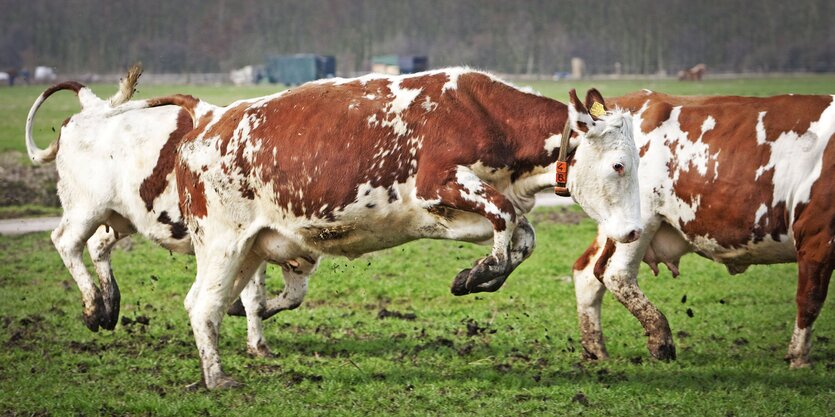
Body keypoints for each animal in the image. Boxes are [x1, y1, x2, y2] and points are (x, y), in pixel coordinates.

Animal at [23, 70, 298, 356]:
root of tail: (93, 106)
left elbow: (275, 296)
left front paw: (258, 344)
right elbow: (258, 296)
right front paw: (254, 341)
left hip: (121, 217)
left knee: (97, 243)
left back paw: (110, 305)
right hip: (85, 208)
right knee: (65, 242)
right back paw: (93, 308)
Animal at [116, 67, 648, 386]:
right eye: (620, 165)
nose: (633, 232)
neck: (483, 113)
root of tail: (206, 122)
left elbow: (522, 234)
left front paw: (477, 274)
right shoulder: (439, 182)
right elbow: (503, 215)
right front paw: (481, 272)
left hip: (249, 248)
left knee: (229, 301)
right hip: (221, 241)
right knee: (201, 304)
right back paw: (217, 378)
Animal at [576, 89, 835, 366]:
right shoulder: (817, 234)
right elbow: (810, 298)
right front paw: (799, 358)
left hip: (616, 224)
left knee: (586, 273)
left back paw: (596, 351)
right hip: (640, 221)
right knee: (615, 273)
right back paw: (661, 340)